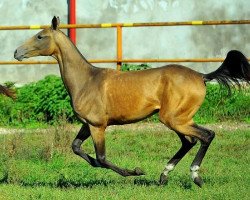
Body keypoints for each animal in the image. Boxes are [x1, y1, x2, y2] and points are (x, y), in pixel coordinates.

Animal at [14, 17, 250, 188]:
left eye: (40, 36)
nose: (17, 52)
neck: (87, 80)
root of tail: (202, 76)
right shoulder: (87, 124)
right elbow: (77, 148)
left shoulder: (98, 126)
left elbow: (101, 157)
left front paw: (135, 171)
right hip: (178, 120)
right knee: (189, 141)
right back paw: (164, 176)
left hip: (174, 119)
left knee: (206, 136)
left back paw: (195, 177)